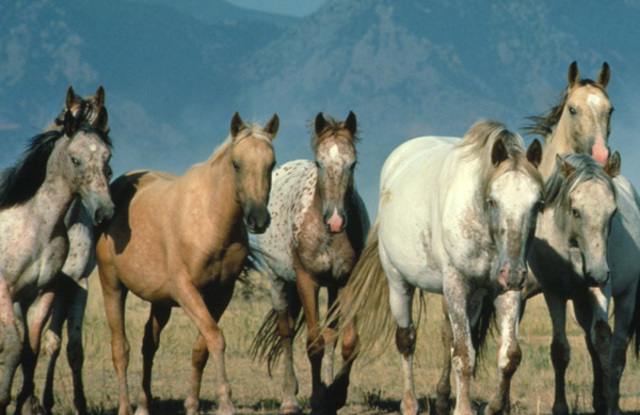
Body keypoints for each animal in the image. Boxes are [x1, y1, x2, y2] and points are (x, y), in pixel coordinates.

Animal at [0, 110, 114, 415]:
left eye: (107, 158)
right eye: (75, 159)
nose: (104, 212)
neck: (37, 224)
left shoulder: (43, 292)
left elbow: (31, 350)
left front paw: (24, 402)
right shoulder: (5, 291)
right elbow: (13, 347)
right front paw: (3, 401)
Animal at [95, 112, 279, 415]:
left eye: (271, 164)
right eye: (236, 163)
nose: (258, 219)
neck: (210, 219)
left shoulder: (221, 294)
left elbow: (201, 347)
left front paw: (191, 404)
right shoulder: (187, 291)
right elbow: (215, 338)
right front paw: (226, 401)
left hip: (159, 301)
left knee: (148, 344)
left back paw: (144, 405)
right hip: (112, 286)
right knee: (120, 348)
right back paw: (125, 407)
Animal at [250, 112, 370, 414]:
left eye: (353, 163)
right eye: (320, 162)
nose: (336, 220)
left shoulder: (347, 281)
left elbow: (348, 343)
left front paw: (334, 395)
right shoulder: (307, 282)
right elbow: (313, 344)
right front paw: (317, 399)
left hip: (333, 288)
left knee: (332, 333)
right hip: (278, 282)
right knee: (286, 332)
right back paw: (289, 399)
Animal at [330, 120, 544, 415]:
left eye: (538, 204)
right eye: (493, 201)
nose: (513, 274)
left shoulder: (504, 290)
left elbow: (509, 355)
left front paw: (493, 407)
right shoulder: (455, 283)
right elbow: (463, 354)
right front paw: (463, 409)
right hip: (398, 283)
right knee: (406, 339)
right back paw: (410, 403)